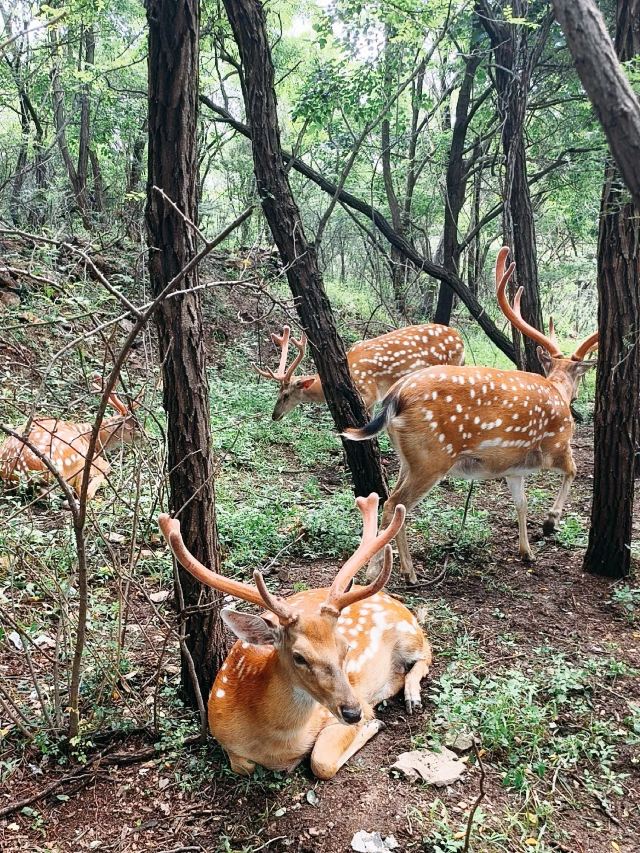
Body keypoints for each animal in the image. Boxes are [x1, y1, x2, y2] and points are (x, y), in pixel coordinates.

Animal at [158, 493, 431, 779]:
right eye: (299, 657)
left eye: (345, 648)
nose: (353, 713)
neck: (277, 745)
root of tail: (392, 599)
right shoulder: (223, 736)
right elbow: (244, 766)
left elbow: (320, 761)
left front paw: (373, 724)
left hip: (408, 634)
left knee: (427, 653)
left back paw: (411, 696)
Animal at [343, 247, 598, 584]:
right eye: (580, 375)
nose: (578, 397)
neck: (558, 391)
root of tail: (396, 396)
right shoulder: (556, 445)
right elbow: (573, 470)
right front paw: (550, 522)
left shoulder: (513, 468)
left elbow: (521, 503)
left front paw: (526, 552)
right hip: (432, 457)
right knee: (397, 504)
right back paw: (409, 573)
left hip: (408, 457)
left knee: (388, 499)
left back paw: (377, 570)